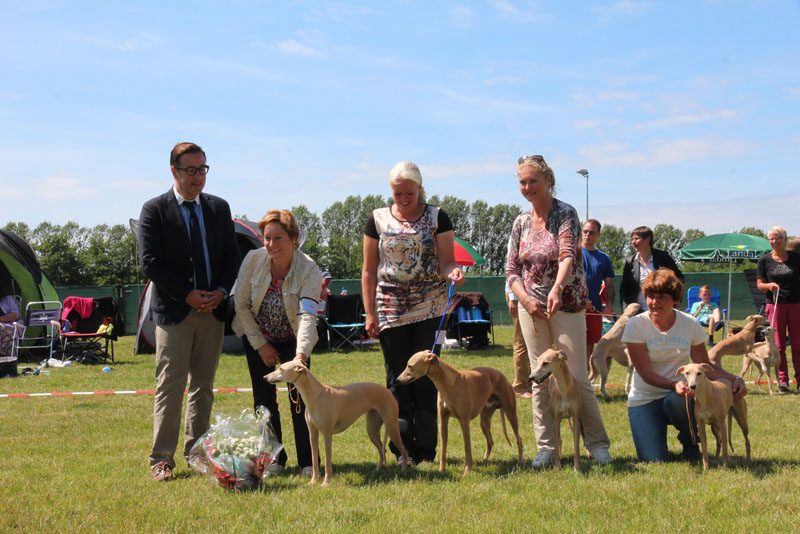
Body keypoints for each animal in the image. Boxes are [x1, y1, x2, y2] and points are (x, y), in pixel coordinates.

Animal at [265, 361, 408, 485]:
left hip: (392, 426)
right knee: (382, 449)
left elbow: (328, 461)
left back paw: (404, 470)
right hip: (372, 429)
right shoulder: (313, 433)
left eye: (281, 368)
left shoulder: (327, 434)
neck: (316, 396)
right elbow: (314, 460)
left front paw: (325, 483)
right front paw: (313, 481)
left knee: (404, 450)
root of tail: (387, 390)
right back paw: (377, 470)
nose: (265, 377)